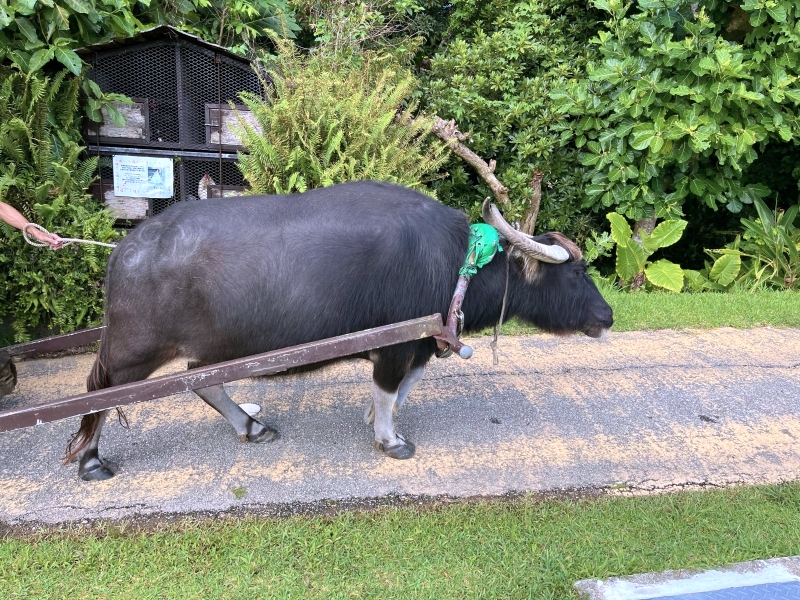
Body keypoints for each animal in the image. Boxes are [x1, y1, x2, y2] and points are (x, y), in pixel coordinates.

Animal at [66, 181, 613, 480]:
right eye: (576, 272)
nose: (607, 317)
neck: (456, 262)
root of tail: (124, 250)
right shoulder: (395, 345)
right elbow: (390, 390)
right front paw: (390, 440)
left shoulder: (417, 344)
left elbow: (403, 388)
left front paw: (377, 420)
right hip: (132, 351)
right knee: (98, 394)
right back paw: (91, 461)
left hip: (213, 347)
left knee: (204, 380)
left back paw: (252, 426)